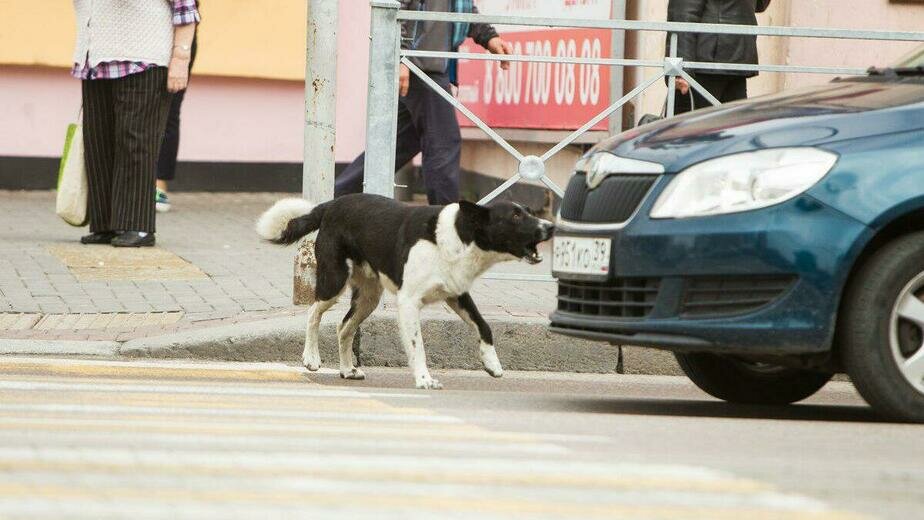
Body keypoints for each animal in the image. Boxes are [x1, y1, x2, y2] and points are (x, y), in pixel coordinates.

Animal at [256, 195, 552, 390]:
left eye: (528, 211)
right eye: (515, 216)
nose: (550, 226)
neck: (458, 234)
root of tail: (332, 204)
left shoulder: (457, 295)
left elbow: (484, 326)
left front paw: (492, 363)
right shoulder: (409, 303)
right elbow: (417, 345)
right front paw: (424, 379)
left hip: (369, 297)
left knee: (344, 328)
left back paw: (347, 369)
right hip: (334, 281)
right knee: (313, 312)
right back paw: (311, 358)